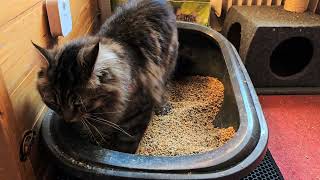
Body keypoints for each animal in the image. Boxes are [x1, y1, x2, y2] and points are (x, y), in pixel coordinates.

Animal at [33, 0, 179, 153]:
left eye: (79, 103)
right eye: (54, 103)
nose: (68, 119)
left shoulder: (139, 113)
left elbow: (127, 142)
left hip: (167, 66)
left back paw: (162, 107)